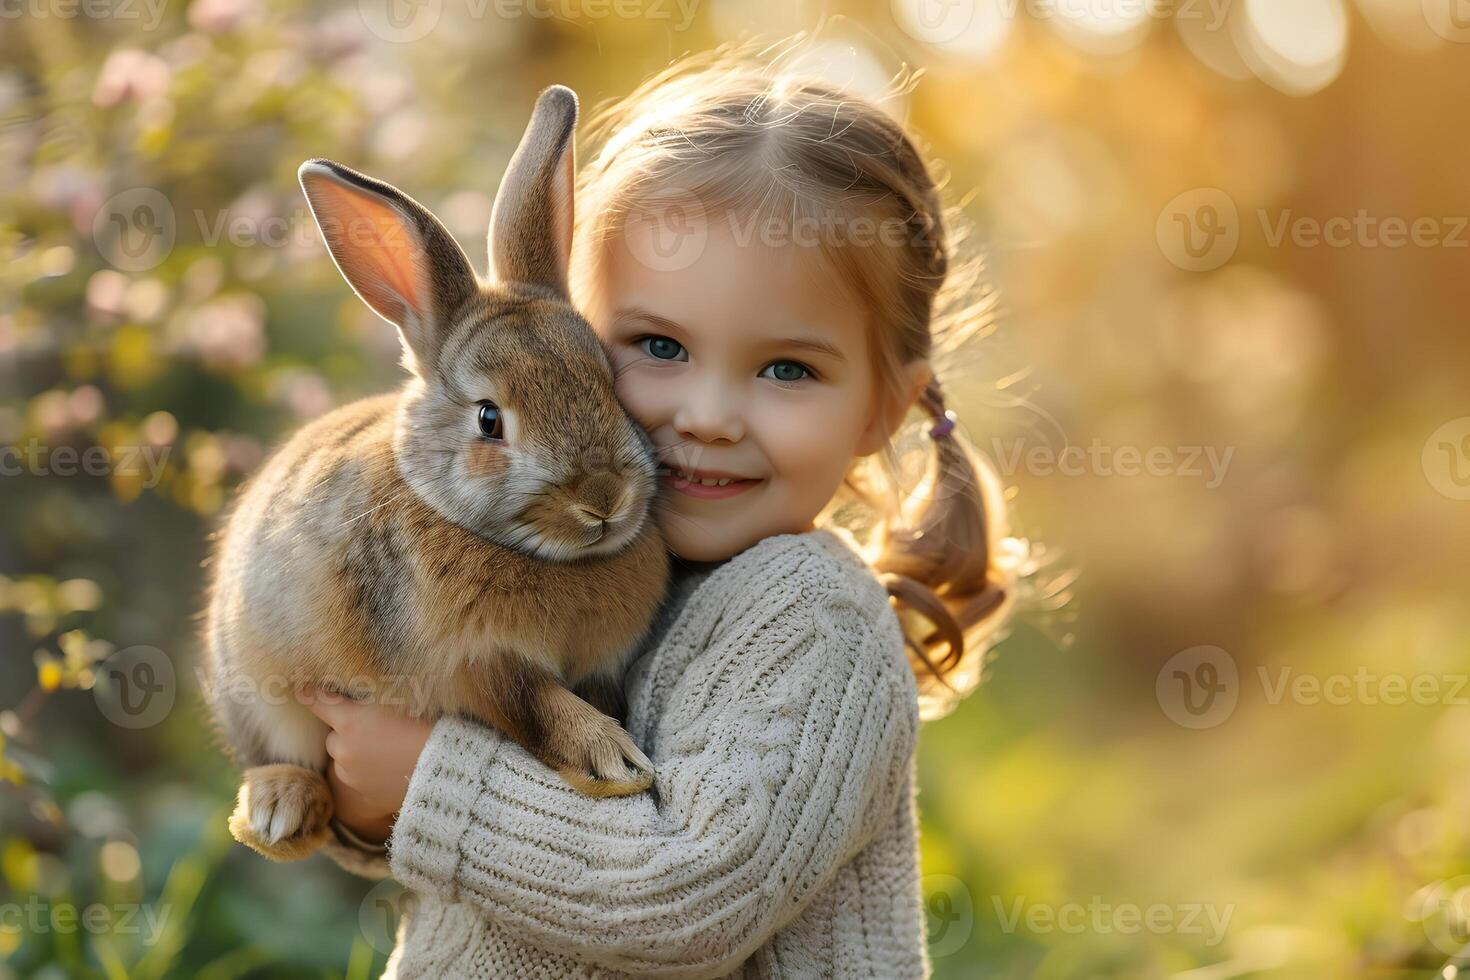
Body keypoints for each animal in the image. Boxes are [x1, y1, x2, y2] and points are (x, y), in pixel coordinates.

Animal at [201, 86, 673, 863]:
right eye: (489, 419)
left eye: (611, 384)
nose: (602, 499)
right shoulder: (473, 663)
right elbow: (537, 705)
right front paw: (613, 761)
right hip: (253, 682)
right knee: (282, 762)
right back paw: (277, 812)